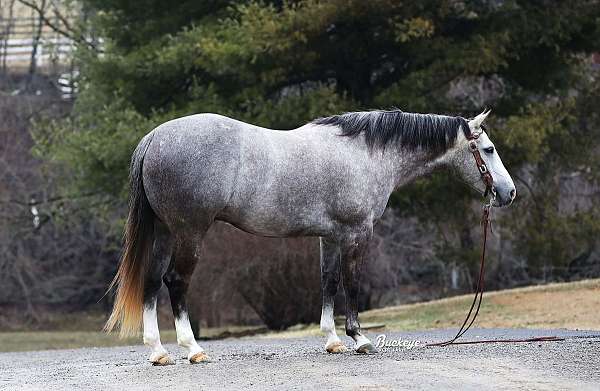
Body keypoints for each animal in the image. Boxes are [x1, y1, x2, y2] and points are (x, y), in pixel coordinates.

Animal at [104, 109, 516, 364]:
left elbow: (328, 282)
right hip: (189, 232)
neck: (366, 153)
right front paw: (360, 339)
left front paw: (332, 340)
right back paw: (192, 349)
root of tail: (156, 137)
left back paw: (158, 352)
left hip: (164, 232)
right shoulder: (356, 233)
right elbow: (351, 284)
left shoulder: (330, 237)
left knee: (151, 282)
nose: (509, 192)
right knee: (176, 282)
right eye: (489, 149)